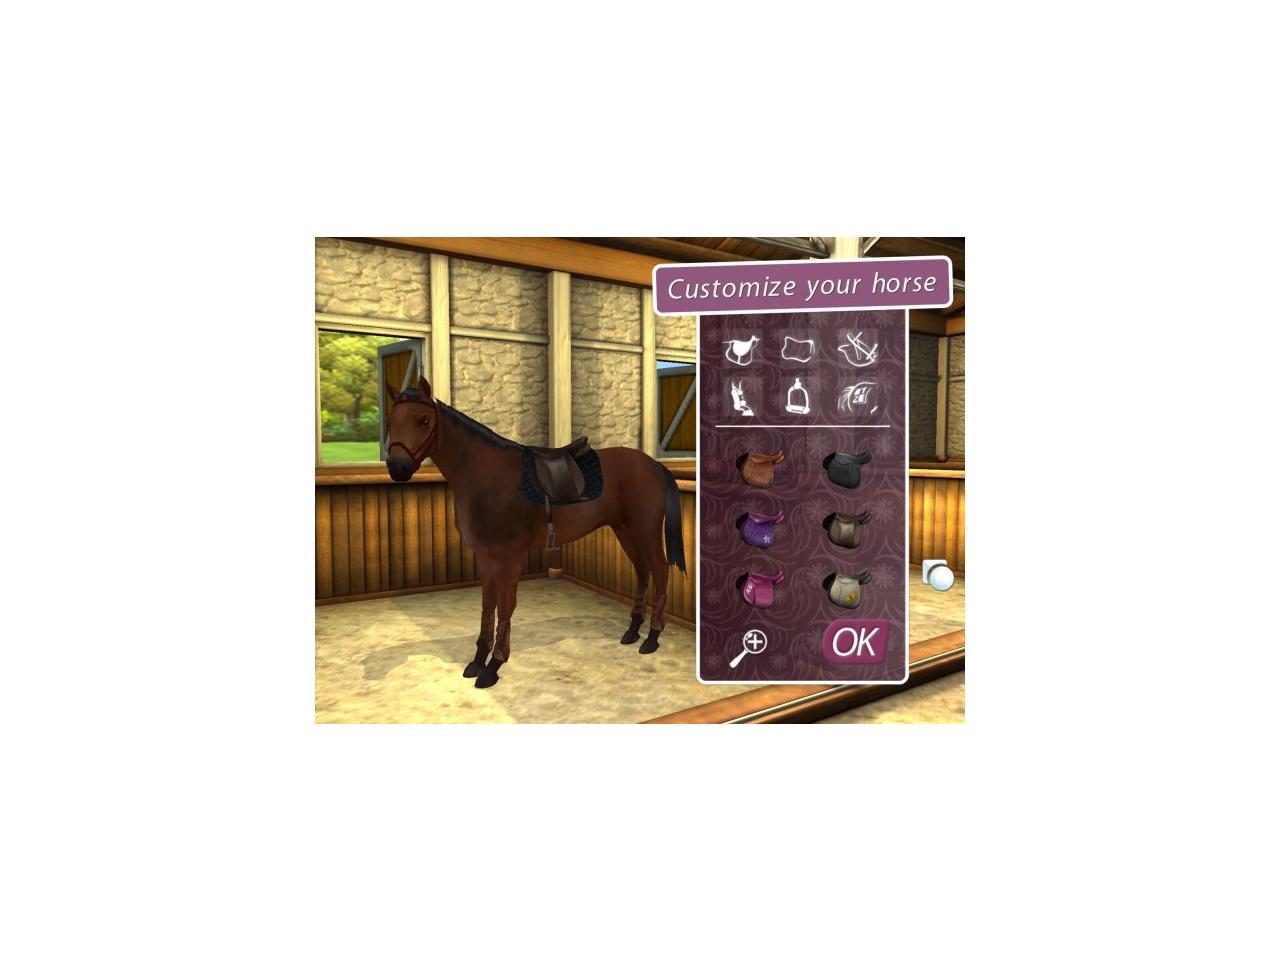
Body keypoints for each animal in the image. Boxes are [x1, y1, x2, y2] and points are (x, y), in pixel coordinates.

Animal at [385, 377, 686, 689]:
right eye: (391, 421)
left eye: (424, 420)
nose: (397, 468)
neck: (487, 477)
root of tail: (654, 465)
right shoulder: (485, 557)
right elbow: (487, 607)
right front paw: (477, 661)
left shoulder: (509, 558)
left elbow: (505, 607)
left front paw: (493, 666)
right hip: (625, 530)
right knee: (642, 570)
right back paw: (632, 630)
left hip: (645, 530)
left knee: (660, 569)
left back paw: (652, 638)